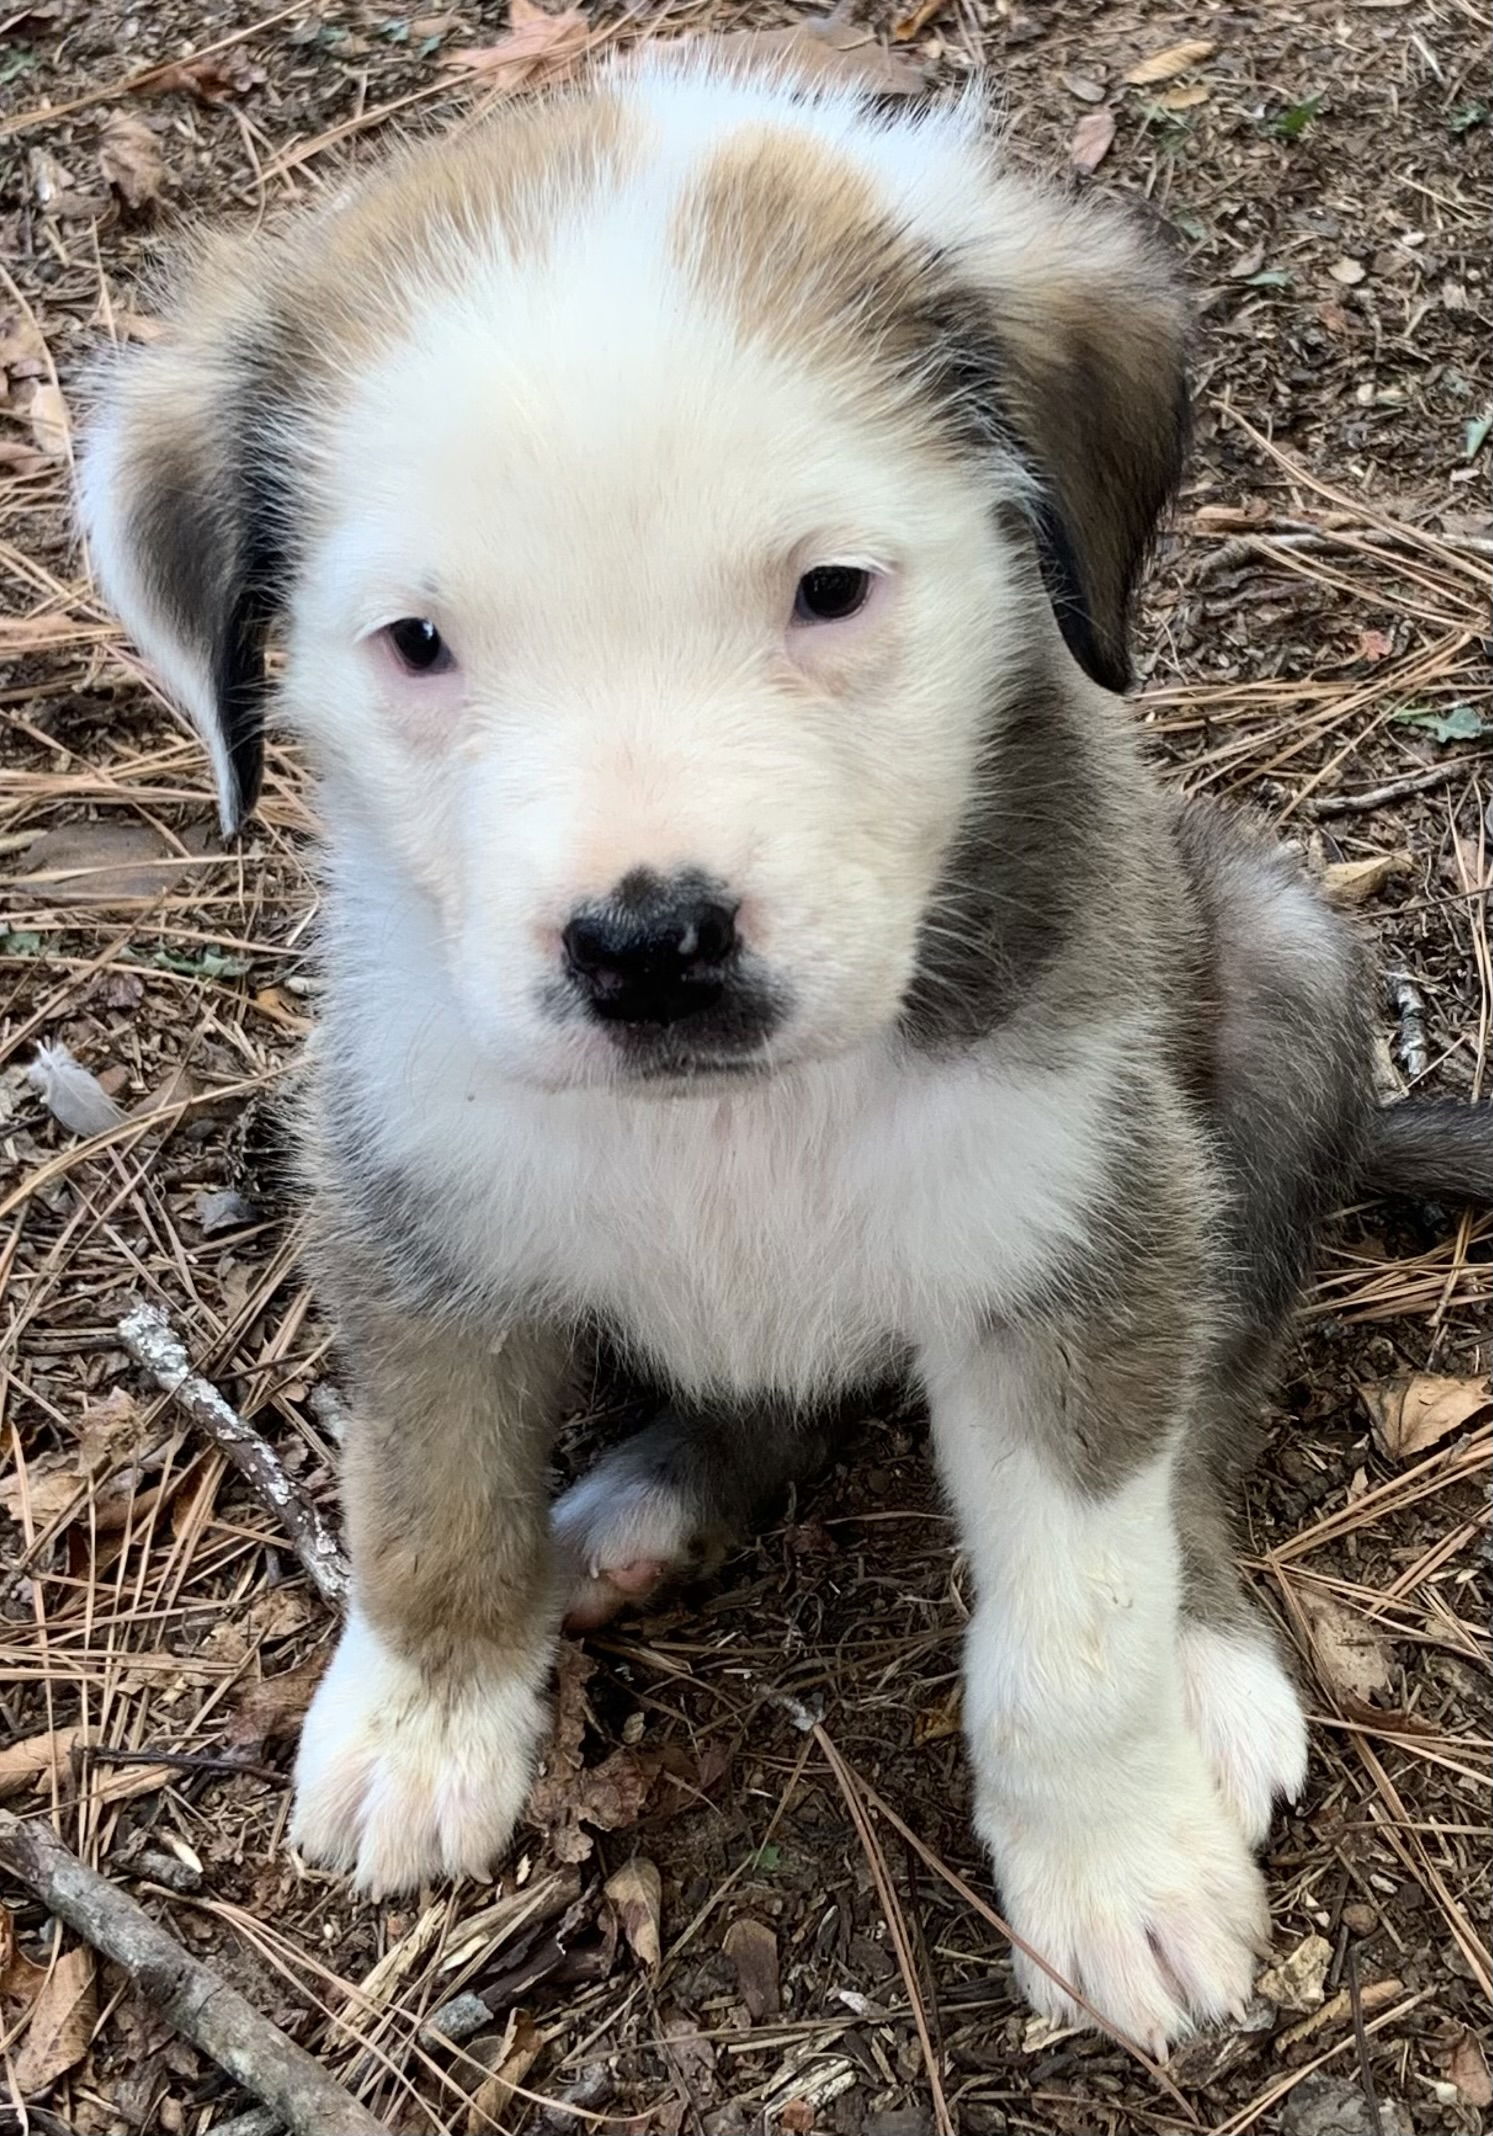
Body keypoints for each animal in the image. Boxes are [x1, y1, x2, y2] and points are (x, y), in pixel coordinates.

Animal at [81, 45, 1493, 2050]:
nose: (648, 944)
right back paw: (642, 1506)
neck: (738, 1123)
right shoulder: (413, 1212)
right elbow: (428, 1494)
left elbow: (1080, 1619)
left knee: (1207, 1420)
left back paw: (1210, 1655)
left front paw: (1120, 1871)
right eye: (417, 641)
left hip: (1283, 986)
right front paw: (425, 1717)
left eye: (830, 590)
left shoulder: (1079, 1246)